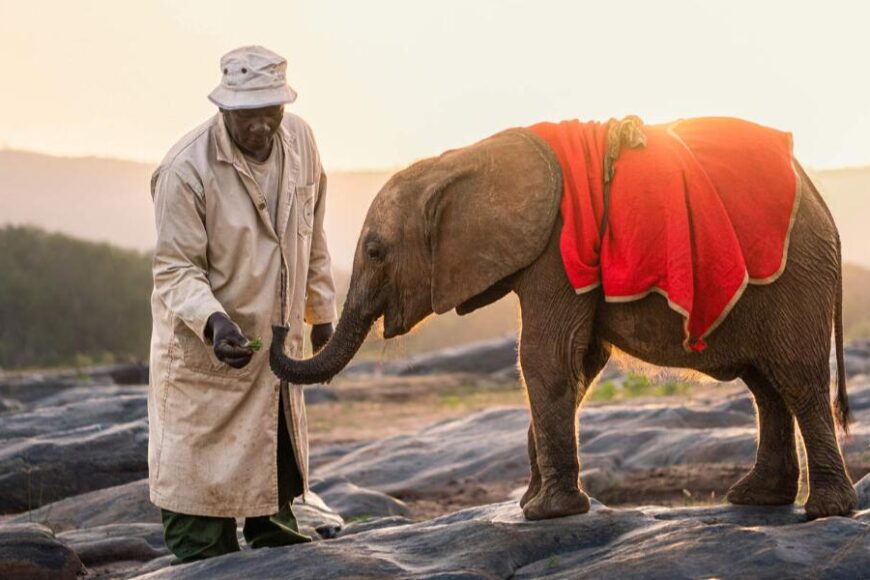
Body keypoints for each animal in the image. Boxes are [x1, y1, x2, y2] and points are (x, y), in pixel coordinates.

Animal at [270, 126, 857, 521]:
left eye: (375, 251)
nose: (278, 327)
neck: (461, 161)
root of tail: (822, 200)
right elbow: (578, 361)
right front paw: (534, 503)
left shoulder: (556, 248)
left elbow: (544, 357)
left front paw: (543, 512)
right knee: (765, 387)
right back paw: (755, 498)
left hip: (794, 280)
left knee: (797, 380)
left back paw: (824, 510)